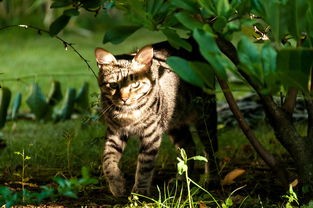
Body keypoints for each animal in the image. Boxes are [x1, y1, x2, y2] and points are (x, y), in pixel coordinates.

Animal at [94, 44, 217, 197]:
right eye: (113, 85)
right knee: (189, 146)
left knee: (211, 149)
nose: (124, 99)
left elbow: (144, 165)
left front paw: (140, 192)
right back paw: (181, 180)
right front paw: (117, 184)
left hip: (205, 117)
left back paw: (211, 179)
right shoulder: (115, 132)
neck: (128, 113)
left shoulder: (151, 133)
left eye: (135, 84)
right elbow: (107, 159)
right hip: (175, 123)